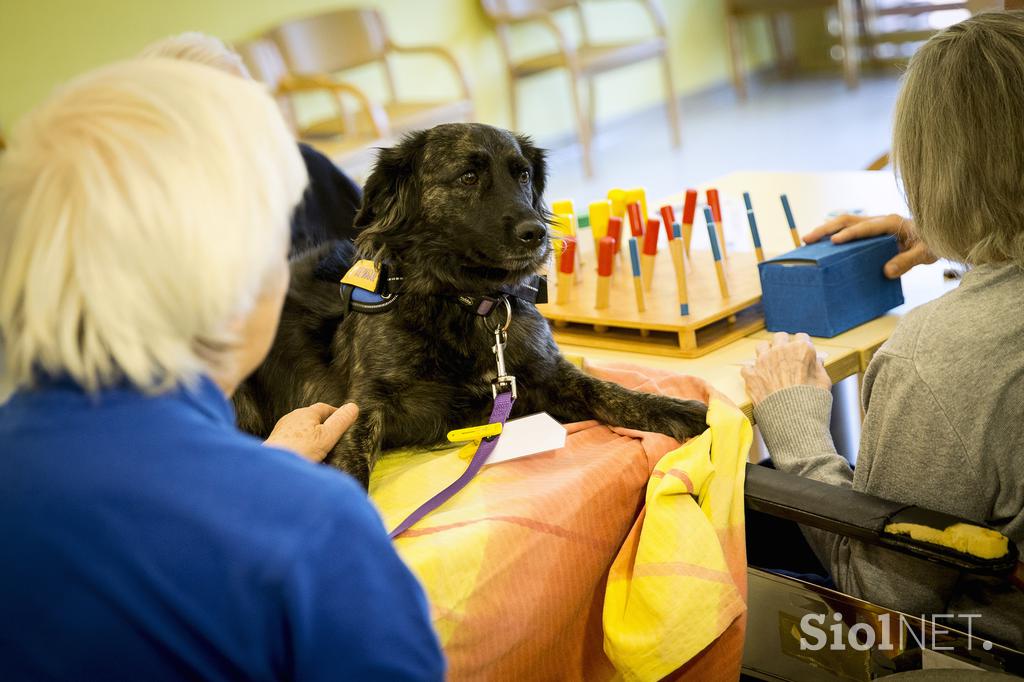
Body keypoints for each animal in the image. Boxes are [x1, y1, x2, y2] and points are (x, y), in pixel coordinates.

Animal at [235, 122, 708, 483]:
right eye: (467, 177)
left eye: (522, 175)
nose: (536, 233)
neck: (466, 303)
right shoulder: (363, 405)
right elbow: (352, 465)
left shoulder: (545, 374)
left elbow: (609, 392)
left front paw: (679, 410)